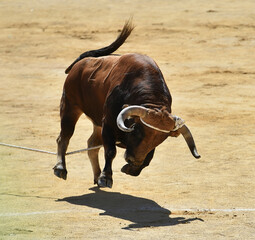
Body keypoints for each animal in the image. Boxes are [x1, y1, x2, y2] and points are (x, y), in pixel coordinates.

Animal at [53, 20, 200, 188]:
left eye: (161, 138)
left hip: (96, 122)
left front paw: (131, 169)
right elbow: (110, 151)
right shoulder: (108, 123)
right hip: (70, 106)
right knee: (64, 136)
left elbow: (149, 157)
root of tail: (83, 62)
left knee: (92, 145)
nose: (133, 160)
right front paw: (106, 178)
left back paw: (96, 175)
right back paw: (60, 168)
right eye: (136, 130)